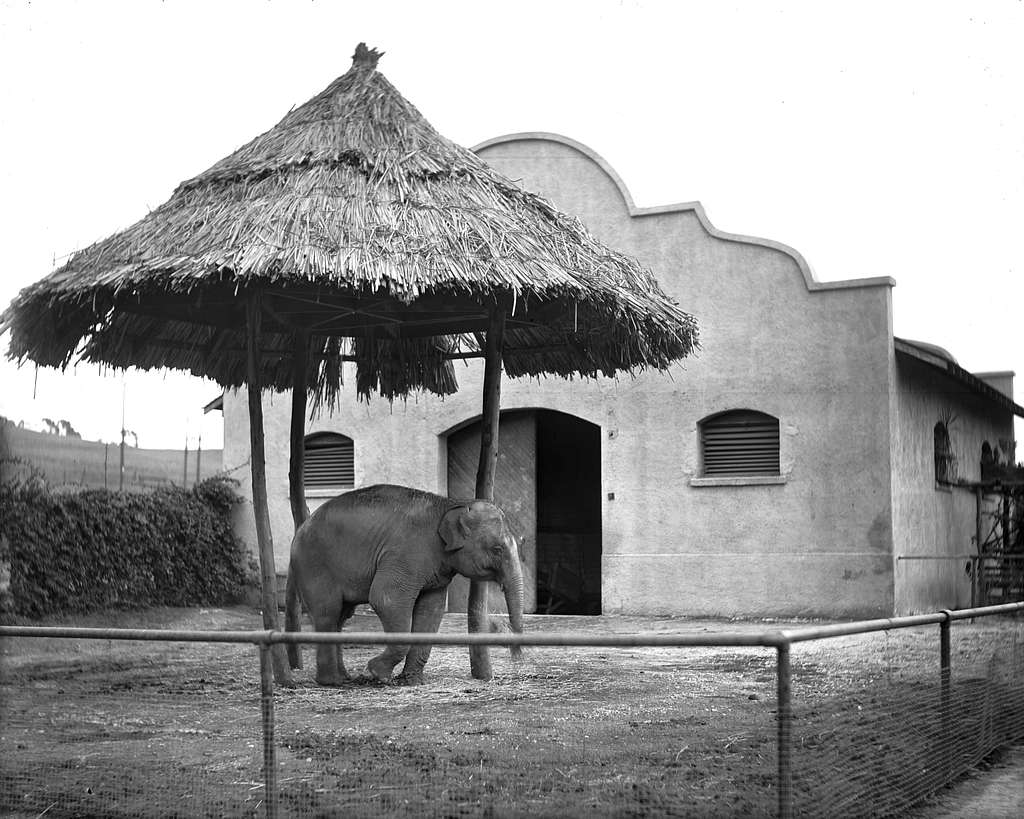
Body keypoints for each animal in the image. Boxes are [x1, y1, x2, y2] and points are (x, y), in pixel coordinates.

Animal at [284, 487, 524, 683]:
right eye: (497, 549)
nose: (516, 658)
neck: (450, 504)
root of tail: (300, 529)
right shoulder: (405, 554)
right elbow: (385, 599)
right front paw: (376, 674)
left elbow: (431, 610)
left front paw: (412, 681)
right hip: (313, 566)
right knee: (328, 613)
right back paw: (332, 681)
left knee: (341, 617)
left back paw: (343, 678)